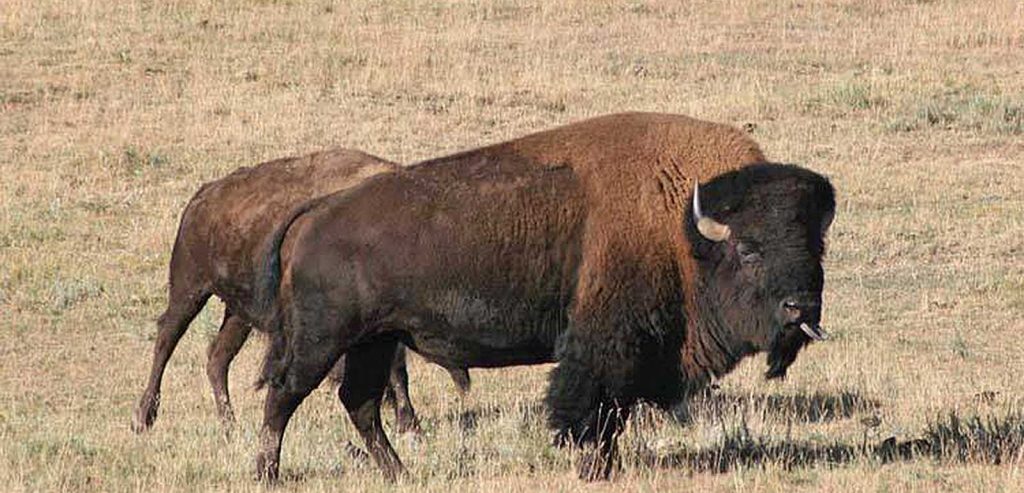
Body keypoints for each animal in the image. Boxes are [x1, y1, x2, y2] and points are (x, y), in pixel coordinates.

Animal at [132, 148, 469, 435]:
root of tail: (203, 195)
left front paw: (408, 423)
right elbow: (397, 368)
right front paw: (410, 424)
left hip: (238, 313)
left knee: (217, 357)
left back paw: (230, 425)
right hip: (189, 289)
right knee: (166, 339)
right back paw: (144, 417)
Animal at [248, 113, 835, 481]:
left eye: (815, 247)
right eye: (749, 248)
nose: (799, 307)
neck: (683, 229)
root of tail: (315, 212)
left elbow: (612, 414)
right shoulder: (602, 350)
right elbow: (590, 411)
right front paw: (594, 469)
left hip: (376, 340)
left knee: (360, 402)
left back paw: (399, 473)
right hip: (323, 340)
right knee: (285, 394)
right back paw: (268, 473)